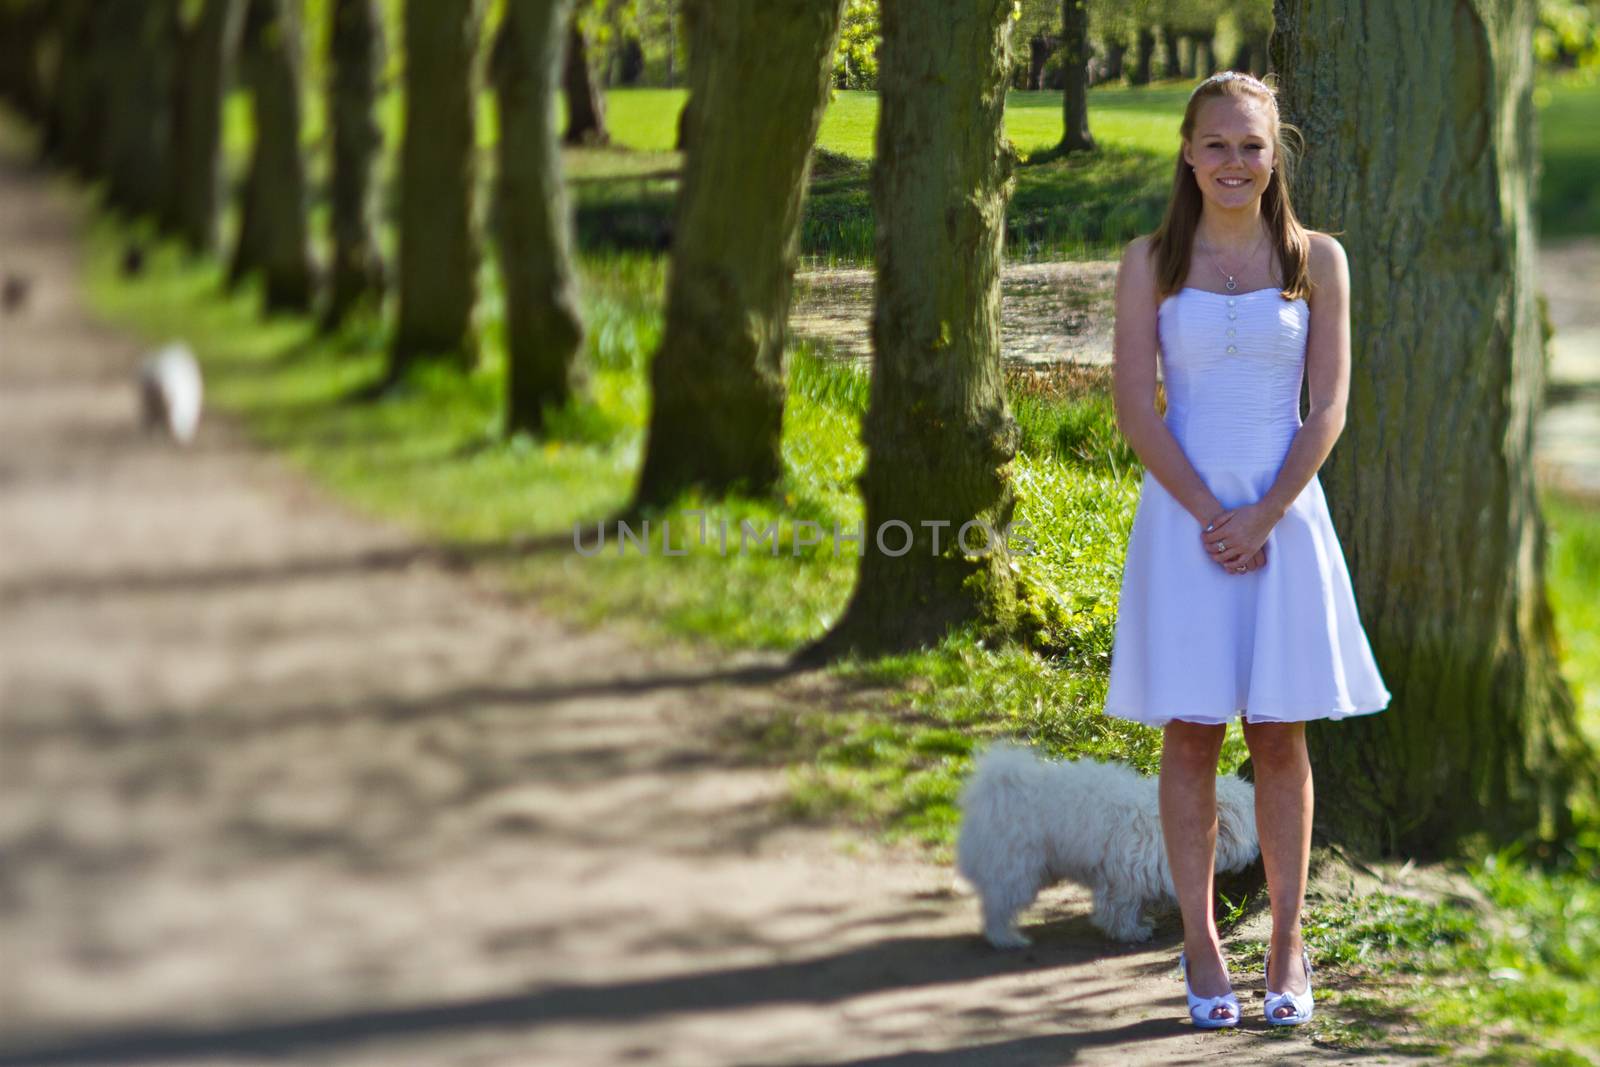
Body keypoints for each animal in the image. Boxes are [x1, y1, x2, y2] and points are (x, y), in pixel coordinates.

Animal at [953, 739, 1254, 947]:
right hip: (1016, 868)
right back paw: (1007, 938)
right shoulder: (1124, 878)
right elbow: (1122, 908)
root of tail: (999, 788)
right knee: (998, 903)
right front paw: (1130, 932)